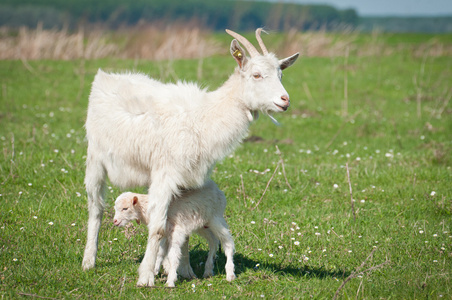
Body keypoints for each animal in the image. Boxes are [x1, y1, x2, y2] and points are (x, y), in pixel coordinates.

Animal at [82, 27, 298, 286]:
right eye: (256, 75)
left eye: (281, 75)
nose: (285, 100)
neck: (203, 117)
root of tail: (104, 76)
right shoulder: (165, 174)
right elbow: (157, 228)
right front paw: (146, 277)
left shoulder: (185, 180)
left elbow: (181, 222)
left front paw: (182, 269)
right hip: (95, 158)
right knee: (96, 207)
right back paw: (88, 261)